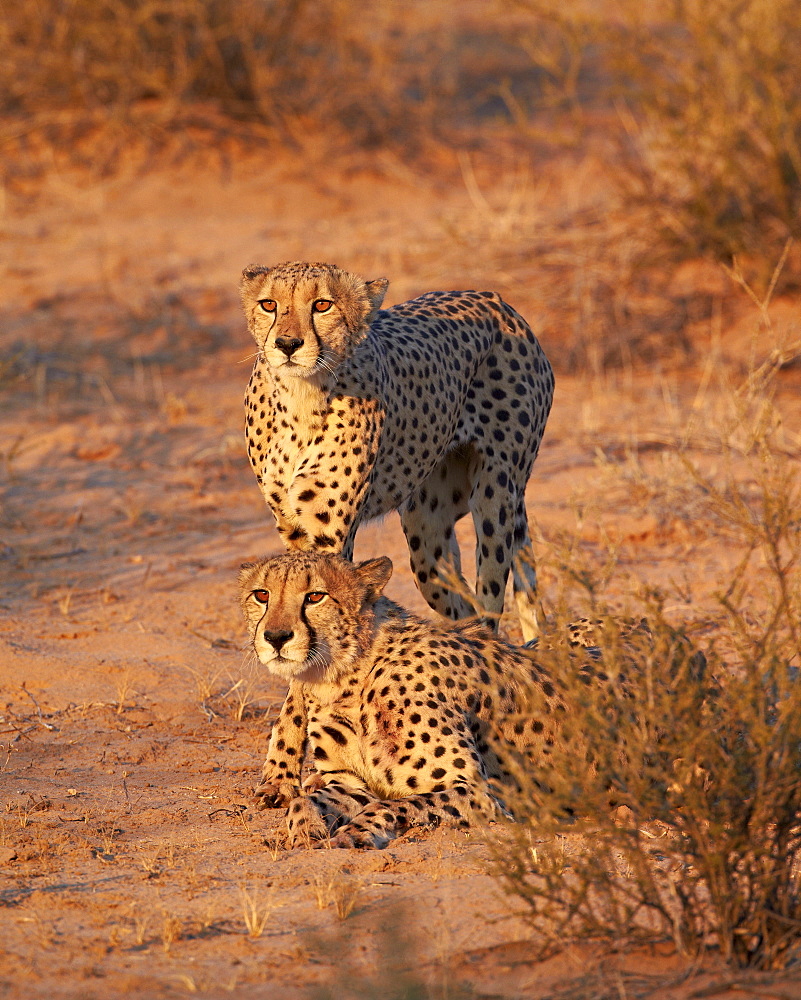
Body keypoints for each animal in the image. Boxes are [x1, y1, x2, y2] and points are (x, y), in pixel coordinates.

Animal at [236, 552, 668, 848]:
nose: (276, 637)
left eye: (315, 596)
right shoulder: (350, 781)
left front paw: (354, 832)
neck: (344, 676)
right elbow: (308, 801)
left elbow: (394, 804)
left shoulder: (479, 791)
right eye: (261, 595)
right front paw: (301, 828)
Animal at [239, 262, 552, 644]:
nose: (287, 344)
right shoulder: (292, 527)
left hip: (496, 495)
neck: (301, 395)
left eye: (323, 305)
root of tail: (495, 300)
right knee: (462, 605)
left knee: (489, 599)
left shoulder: (328, 533)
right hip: (426, 533)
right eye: (268, 304)